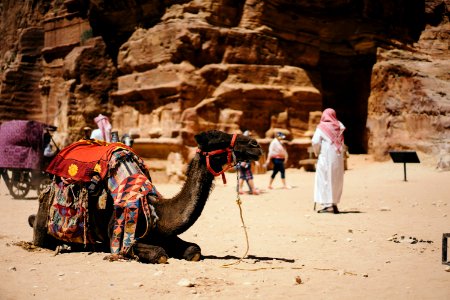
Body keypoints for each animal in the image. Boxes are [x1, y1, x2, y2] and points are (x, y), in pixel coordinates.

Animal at [29, 130, 264, 264]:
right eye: (218, 139)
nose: (255, 145)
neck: (157, 210)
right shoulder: (120, 237)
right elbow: (160, 254)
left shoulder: (166, 234)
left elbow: (194, 250)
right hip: (44, 221)